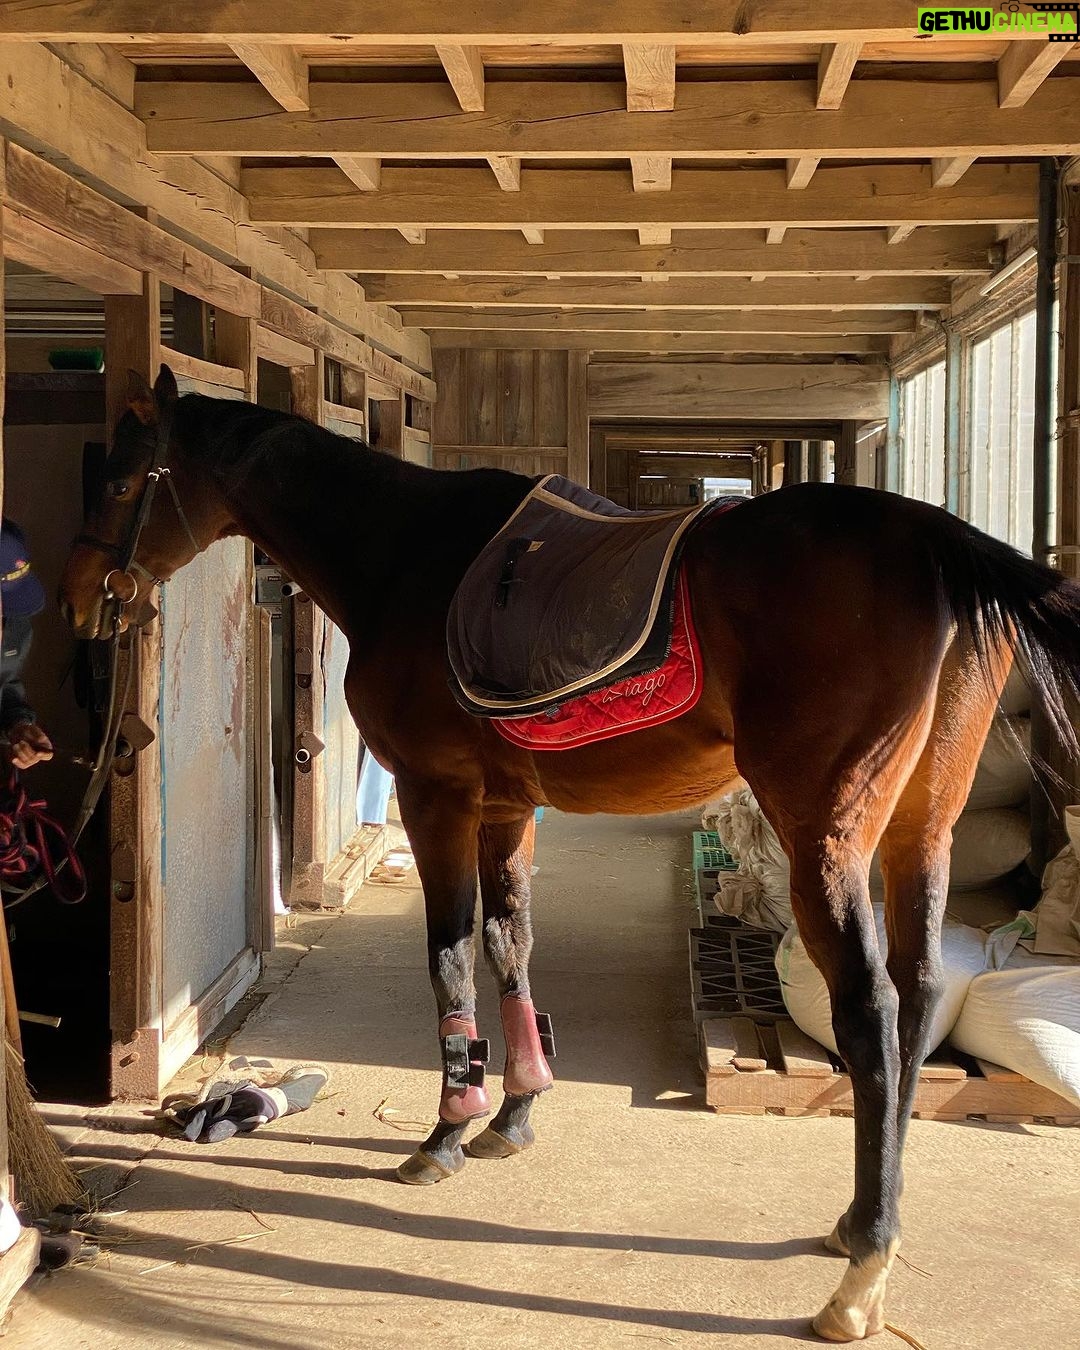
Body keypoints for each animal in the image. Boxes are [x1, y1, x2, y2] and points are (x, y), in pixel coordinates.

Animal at [59, 366, 1080, 1342]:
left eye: (120, 482)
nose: (78, 602)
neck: (403, 554)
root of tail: (931, 541)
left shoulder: (438, 796)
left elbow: (448, 956)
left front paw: (446, 1133)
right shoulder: (509, 807)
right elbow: (510, 945)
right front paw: (513, 1113)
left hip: (826, 837)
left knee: (870, 1011)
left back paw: (862, 1270)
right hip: (920, 831)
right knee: (917, 991)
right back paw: (862, 1220)